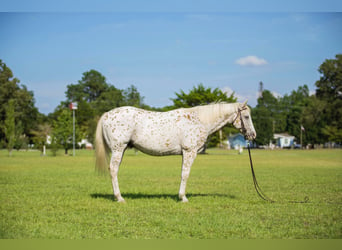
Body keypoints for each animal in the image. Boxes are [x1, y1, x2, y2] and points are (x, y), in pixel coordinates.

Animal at [95, 100, 255, 202]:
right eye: (246, 116)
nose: (253, 135)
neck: (200, 120)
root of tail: (107, 114)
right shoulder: (190, 152)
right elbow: (185, 174)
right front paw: (183, 198)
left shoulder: (185, 153)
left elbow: (182, 174)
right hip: (118, 149)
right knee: (113, 170)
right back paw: (119, 198)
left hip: (120, 151)